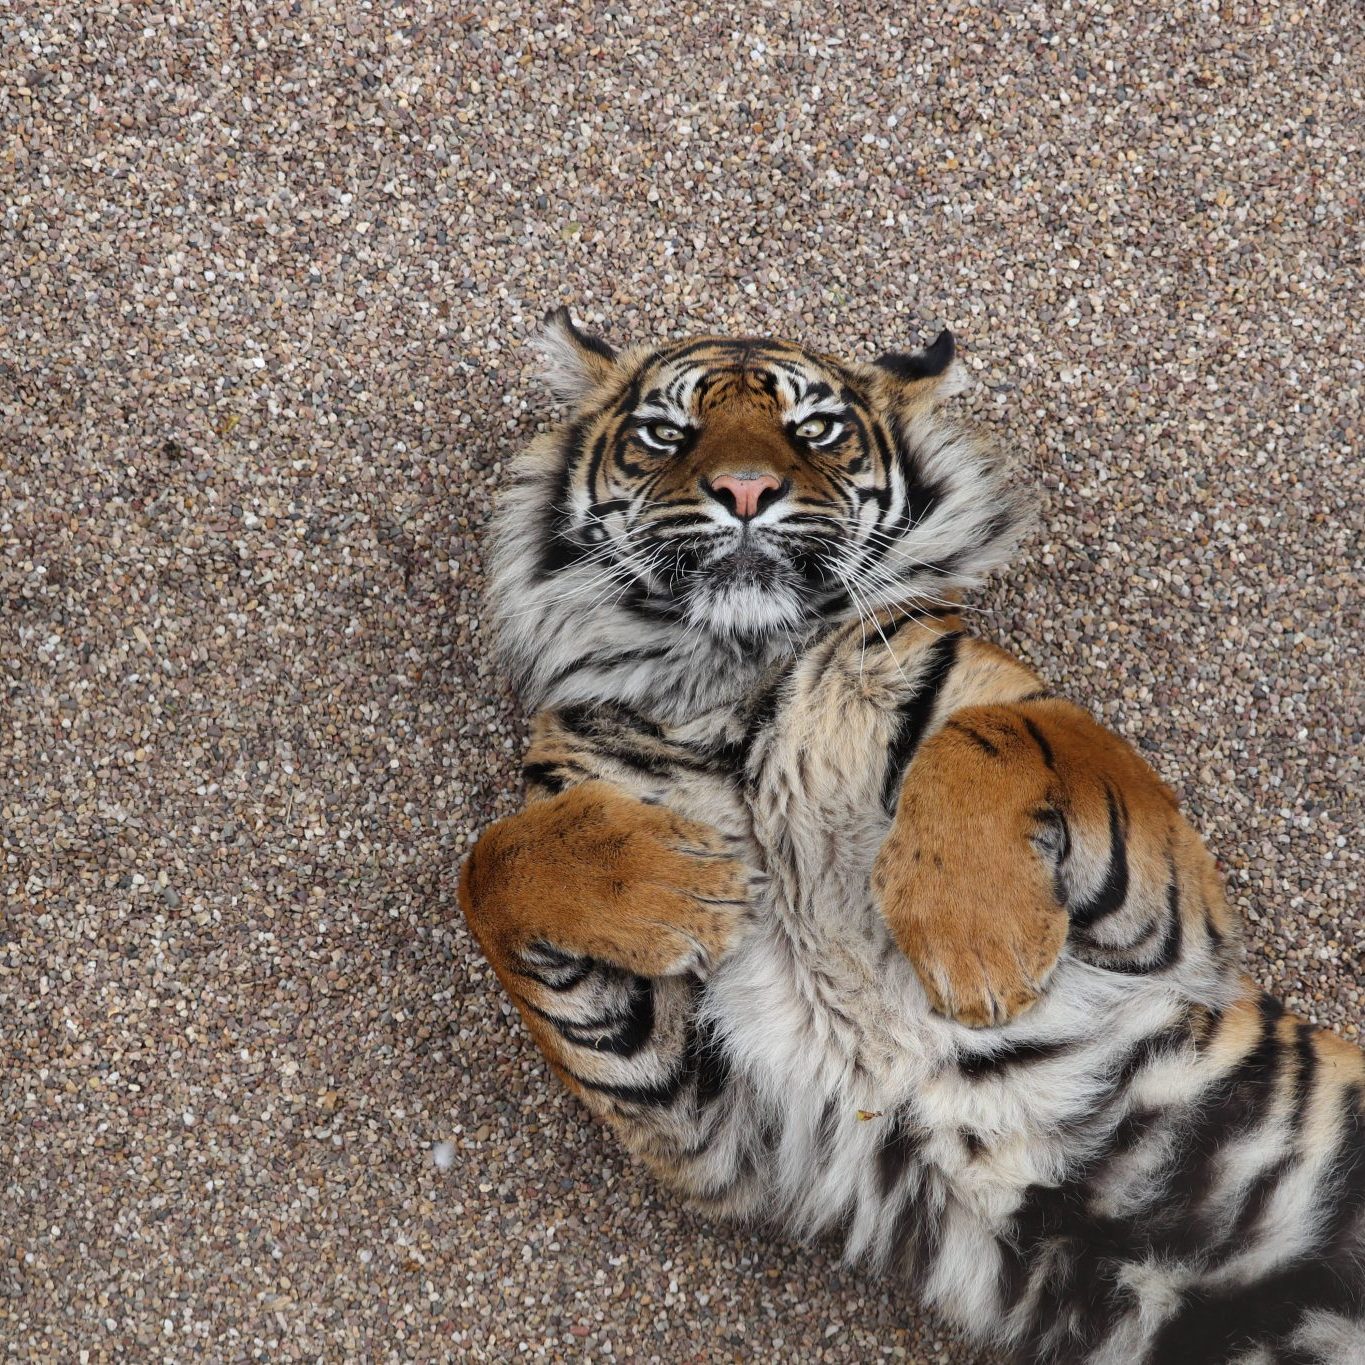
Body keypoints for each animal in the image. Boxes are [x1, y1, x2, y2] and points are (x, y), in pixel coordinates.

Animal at [461, 309, 1365, 1365]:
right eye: (666, 433)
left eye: (813, 430)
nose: (744, 490)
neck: (735, 682)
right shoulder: (701, 1119)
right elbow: (490, 860)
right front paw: (689, 881)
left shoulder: (1176, 929)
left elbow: (1001, 733)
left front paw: (976, 948)